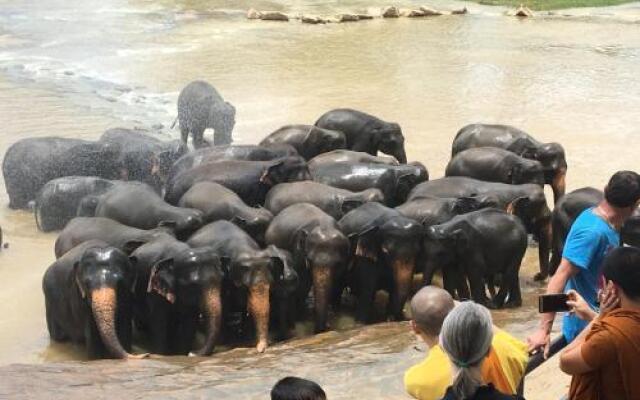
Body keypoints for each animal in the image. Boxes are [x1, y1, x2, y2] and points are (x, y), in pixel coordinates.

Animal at [184, 222, 296, 354]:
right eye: (245, 287)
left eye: (270, 286)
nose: (260, 349)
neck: (244, 250)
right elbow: (225, 303)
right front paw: (225, 342)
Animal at [264, 203, 350, 332]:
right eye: (309, 260)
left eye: (337, 264)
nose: (326, 328)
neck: (325, 225)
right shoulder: (298, 252)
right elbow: (303, 283)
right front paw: (299, 317)